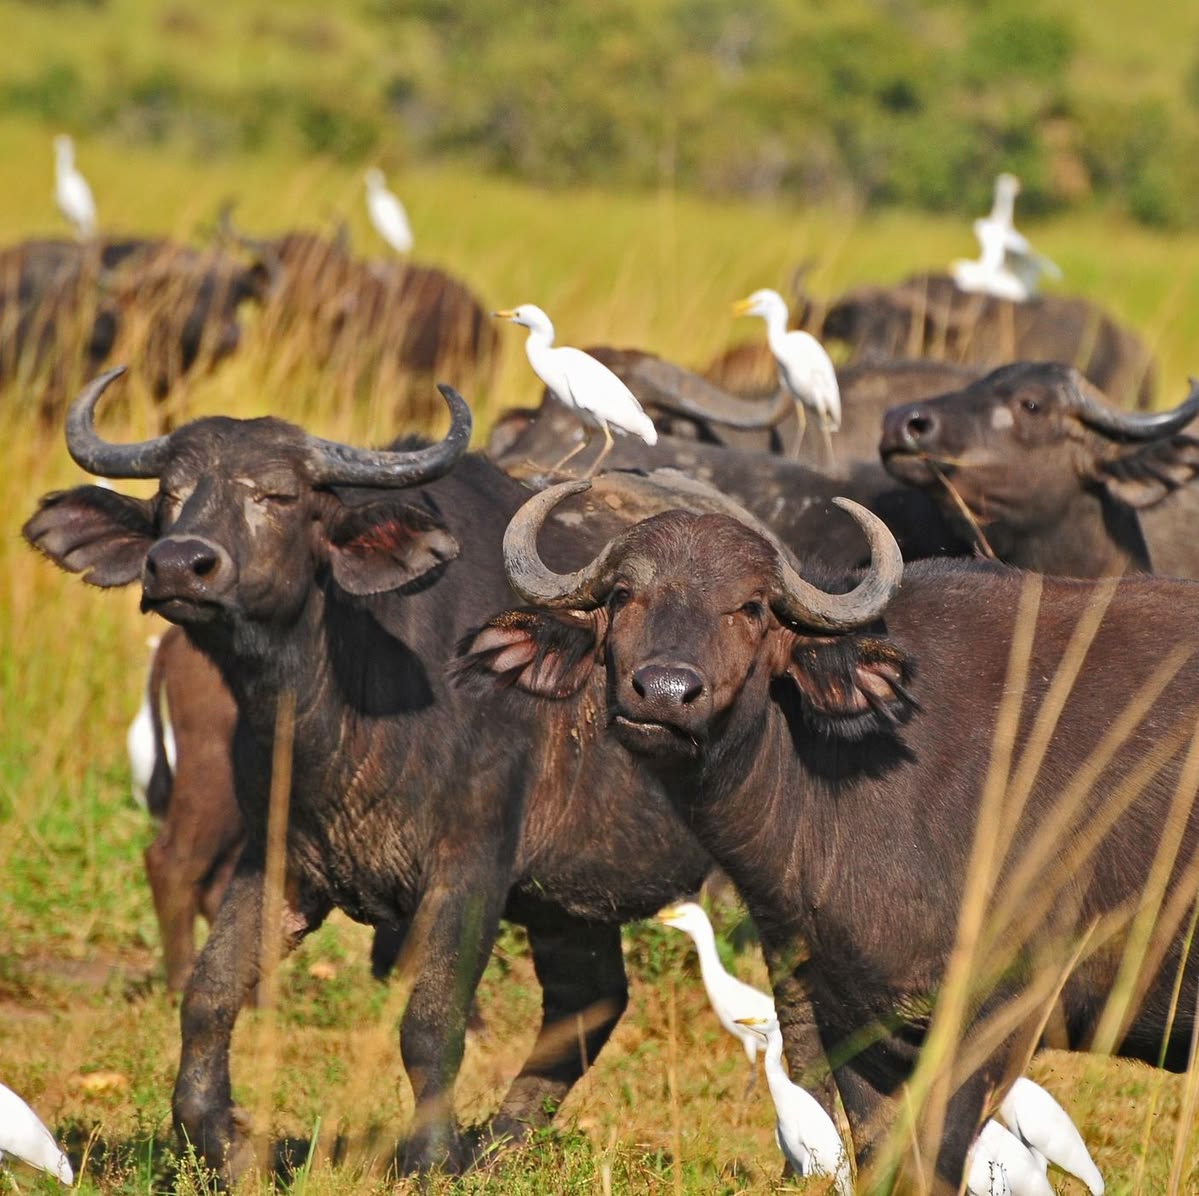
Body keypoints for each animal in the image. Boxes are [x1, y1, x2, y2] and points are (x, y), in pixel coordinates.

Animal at [22, 370, 756, 1177]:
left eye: (279, 495)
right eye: (170, 493)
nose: (181, 564)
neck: (341, 704)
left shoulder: (471, 867)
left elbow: (430, 1022)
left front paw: (431, 1155)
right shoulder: (282, 857)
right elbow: (209, 996)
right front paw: (222, 1138)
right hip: (570, 898)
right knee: (588, 1000)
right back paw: (502, 1143)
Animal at [459, 479, 1199, 1192]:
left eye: (751, 608)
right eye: (621, 594)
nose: (665, 692)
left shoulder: (994, 1018)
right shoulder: (852, 1018)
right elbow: (878, 1154)